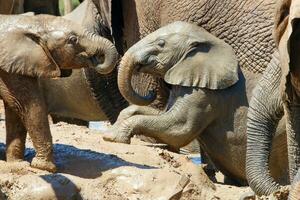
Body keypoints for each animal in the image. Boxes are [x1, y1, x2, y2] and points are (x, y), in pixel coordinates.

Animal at [0, 14, 119, 171]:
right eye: (73, 40)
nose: (97, 58)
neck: (30, 23)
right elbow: (30, 106)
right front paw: (45, 167)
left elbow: (16, 108)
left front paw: (18, 164)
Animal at [103, 21, 288, 185]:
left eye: (161, 43)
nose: (152, 92)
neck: (207, 40)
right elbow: (162, 115)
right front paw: (115, 127)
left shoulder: (204, 95)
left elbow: (177, 128)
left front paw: (111, 137)